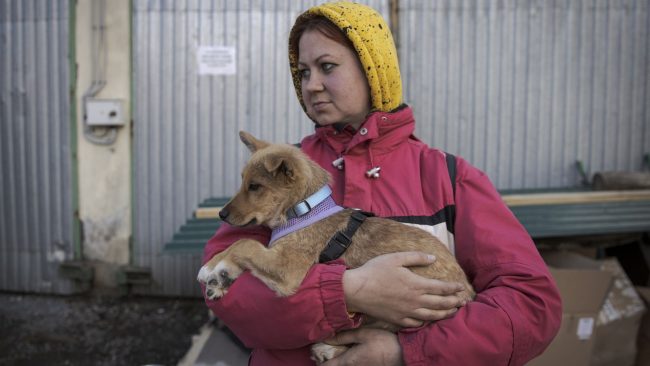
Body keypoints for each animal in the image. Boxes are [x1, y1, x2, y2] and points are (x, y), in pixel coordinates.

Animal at [195, 132, 474, 364]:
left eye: (255, 187)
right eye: (243, 182)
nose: (221, 214)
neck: (304, 210)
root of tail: (468, 290)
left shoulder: (289, 269)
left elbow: (246, 243)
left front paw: (217, 269)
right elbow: (238, 246)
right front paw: (217, 273)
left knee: (379, 328)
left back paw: (329, 348)